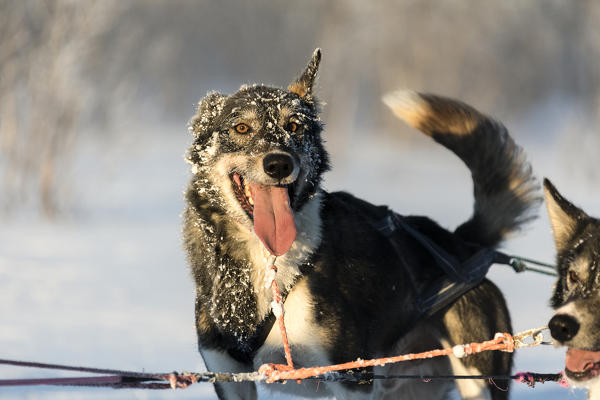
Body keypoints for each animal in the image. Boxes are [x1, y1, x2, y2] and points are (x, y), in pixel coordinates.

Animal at [183, 50, 540, 400]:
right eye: (242, 128)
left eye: (294, 126)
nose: (279, 163)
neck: (266, 263)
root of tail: (460, 243)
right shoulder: (230, 377)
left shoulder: (351, 377)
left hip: (476, 374)